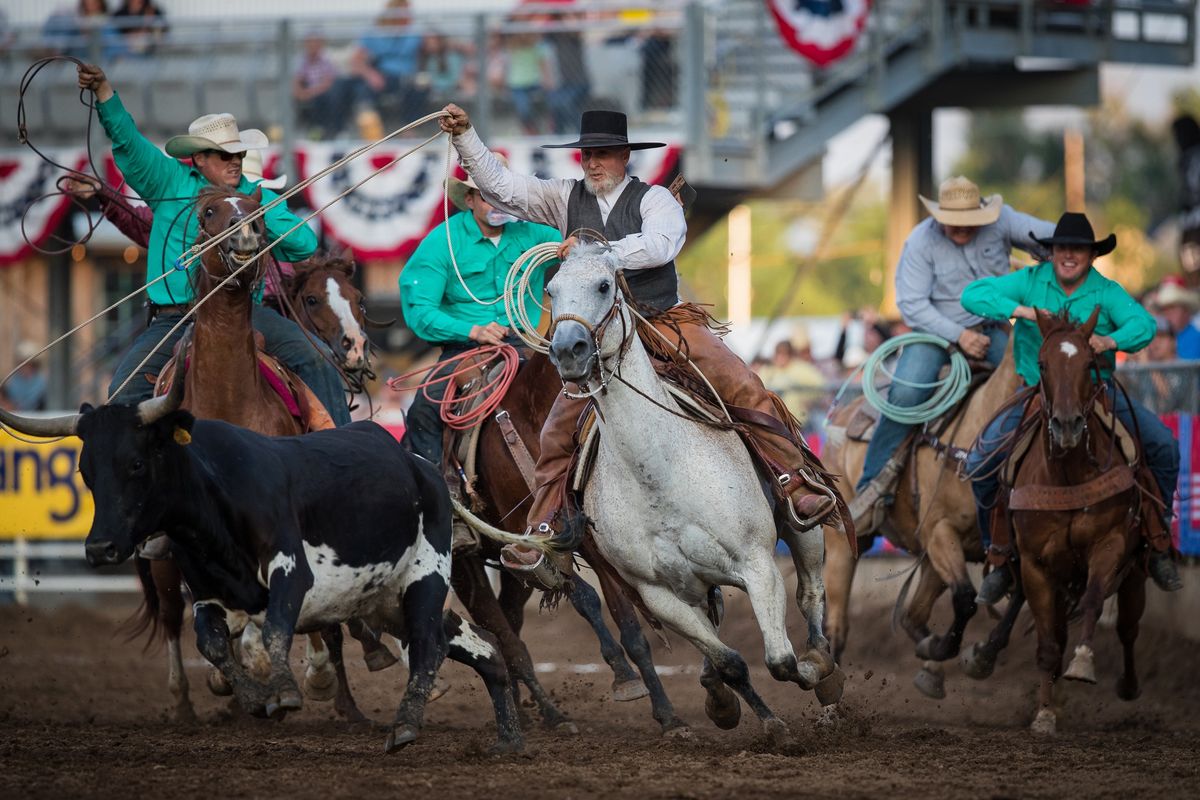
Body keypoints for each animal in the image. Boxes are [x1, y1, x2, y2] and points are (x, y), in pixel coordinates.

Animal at [453, 350, 691, 738]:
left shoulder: (592, 544)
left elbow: (628, 621)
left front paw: (667, 714)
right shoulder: (534, 545)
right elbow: (586, 598)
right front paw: (623, 675)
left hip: (513, 578)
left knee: (509, 626)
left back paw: (521, 707)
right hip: (467, 570)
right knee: (503, 636)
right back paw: (551, 714)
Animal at [544, 244, 844, 743]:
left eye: (604, 285)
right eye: (550, 290)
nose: (568, 350)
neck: (658, 469)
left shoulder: (758, 566)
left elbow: (781, 661)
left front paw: (809, 675)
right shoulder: (659, 594)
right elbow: (731, 661)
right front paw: (752, 717)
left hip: (805, 528)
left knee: (811, 593)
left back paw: (825, 671)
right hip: (693, 585)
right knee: (717, 628)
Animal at [820, 335, 1027, 695]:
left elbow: (1015, 598)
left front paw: (978, 656)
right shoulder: (940, 531)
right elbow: (966, 599)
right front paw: (946, 652)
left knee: (911, 615)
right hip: (843, 542)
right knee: (838, 626)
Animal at [1012, 309, 1152, 734]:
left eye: (1090, 363)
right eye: (1042, 364)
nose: (1067, 425)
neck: (1068, 477)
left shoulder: (1110, 543)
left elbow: (1093, 599)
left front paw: (1083, 664)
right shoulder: (1034, 565)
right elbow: (1047, 642)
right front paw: (1044, 713)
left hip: (1135, 572)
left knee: (1128, 627)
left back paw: (1128, 685)